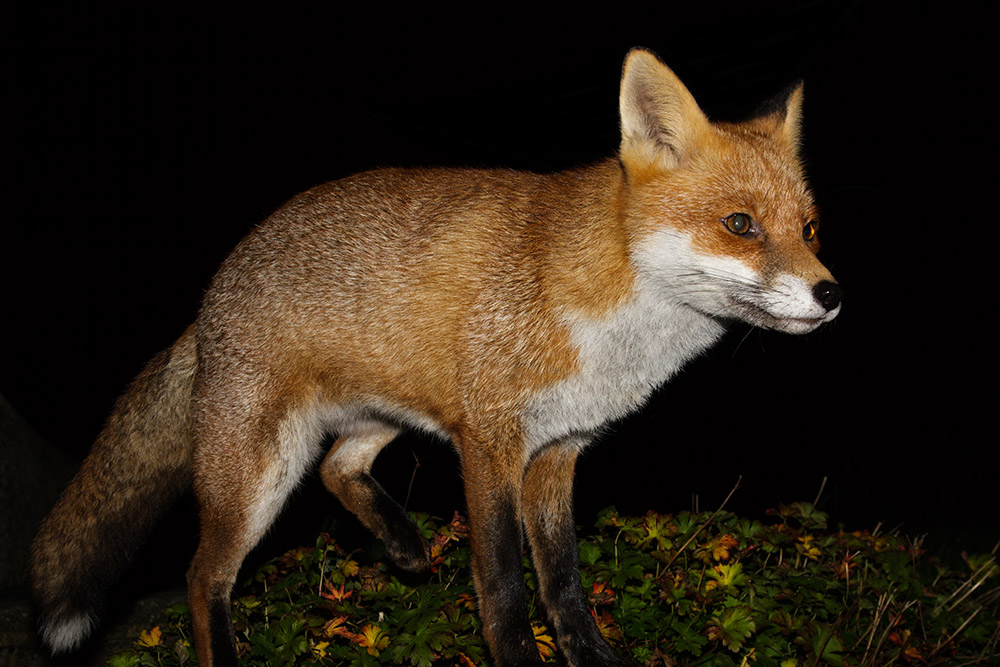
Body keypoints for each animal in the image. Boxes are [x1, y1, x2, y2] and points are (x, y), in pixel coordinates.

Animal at [30, 48, 841, 667]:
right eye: (740, 224)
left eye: (808, 228)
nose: (831, 294)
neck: (613, 320)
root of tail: (207, 301)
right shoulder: (489, 441)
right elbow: (505, 583)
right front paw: (517, 660)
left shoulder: (559, 449)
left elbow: (564, 582)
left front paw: (594, 656)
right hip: (258, 471)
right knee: (205, 579)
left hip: (385, 414)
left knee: (338, 468)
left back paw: (405, 546)